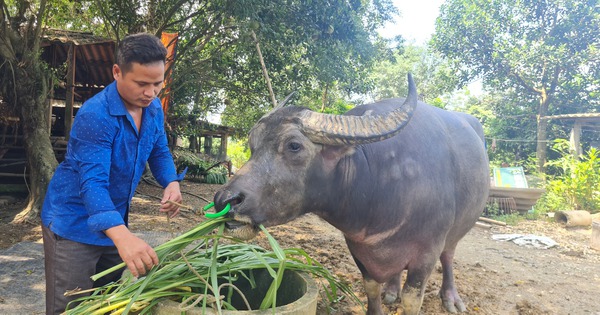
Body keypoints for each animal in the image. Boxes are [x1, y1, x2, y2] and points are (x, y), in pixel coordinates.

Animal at [213, 74, 490, 315]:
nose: (224, 200)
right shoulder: (358, 248)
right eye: (253, 144)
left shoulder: (426, 254)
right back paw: (392, 291)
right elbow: (371, 287)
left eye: (294, 146)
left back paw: (451, 298)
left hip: (457, 230)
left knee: (449, 254)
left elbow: (413, 300)